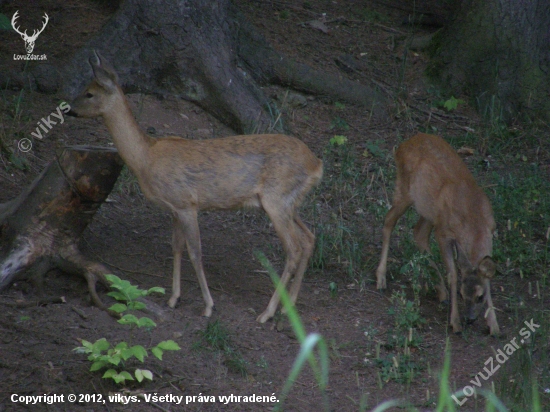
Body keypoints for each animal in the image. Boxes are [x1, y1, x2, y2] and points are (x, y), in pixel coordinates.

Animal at [69, 50, 324, 322]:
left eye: (89, 93)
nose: (69, 110)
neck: (146, 158)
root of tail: (316, 164)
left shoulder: (186, 203)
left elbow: (195, 252)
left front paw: (208, 306)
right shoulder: (174, 208)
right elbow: (176, 247)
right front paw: (173, 298)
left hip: (277, 198)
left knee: (294, 248)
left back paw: (267, 313)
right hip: (289, 202)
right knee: (309, 238)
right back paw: (289, 306)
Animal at [378, 134, 502, 336]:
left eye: (480, 296)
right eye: (461, 294)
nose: (469, 319)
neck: (474, 221)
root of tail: (403, 145)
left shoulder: (490, 229)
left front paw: (494, 326)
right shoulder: (443, 233)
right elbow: (453, 274)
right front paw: (455, 323)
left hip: (429, 210)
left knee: (418, 233)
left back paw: (441, 292)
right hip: (405, 190)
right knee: (389, 221)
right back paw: (381, 279)